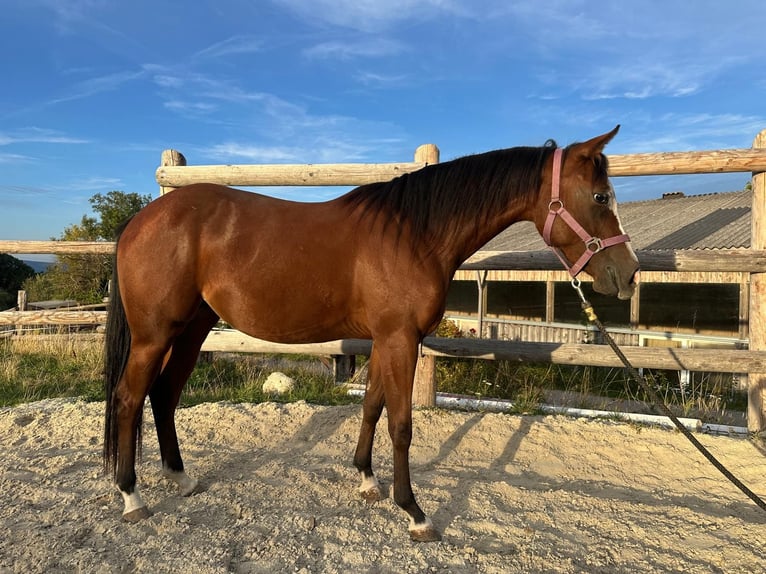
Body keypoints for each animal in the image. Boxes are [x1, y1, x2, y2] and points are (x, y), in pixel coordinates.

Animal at [103, 126, 638, 542]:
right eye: (600, 197)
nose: (628, 274)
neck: (415, 234)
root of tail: (141, 219)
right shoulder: (400, 338)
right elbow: (401, 425)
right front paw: (416, 514)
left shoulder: (387, 339)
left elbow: (372, 407)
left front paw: (366, 481)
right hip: (155, 335)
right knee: (129, 397)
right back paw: (132, 497)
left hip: (192, 329)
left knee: (164, 394)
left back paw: (181, 478)